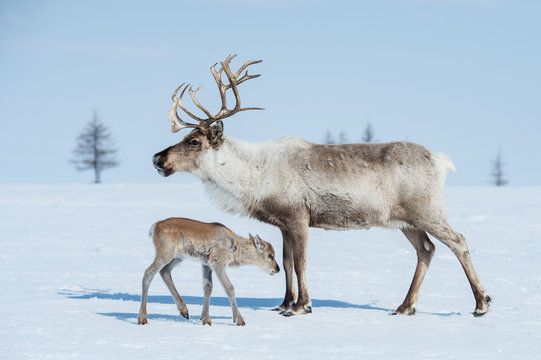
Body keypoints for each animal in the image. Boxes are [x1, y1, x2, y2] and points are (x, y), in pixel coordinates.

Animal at [136, 217, 278, 326]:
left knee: (164, 272)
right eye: (270, 255)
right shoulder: (218, 264)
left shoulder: (206, 264)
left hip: (177, 257)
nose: (277, 268)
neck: (235, 247)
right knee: (148, 273)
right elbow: (229, 288)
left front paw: (205, 319)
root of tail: (155, 226)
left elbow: (208, 287)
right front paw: (239, 320)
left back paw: (184, 311)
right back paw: (142, 318)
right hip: (165, 254)